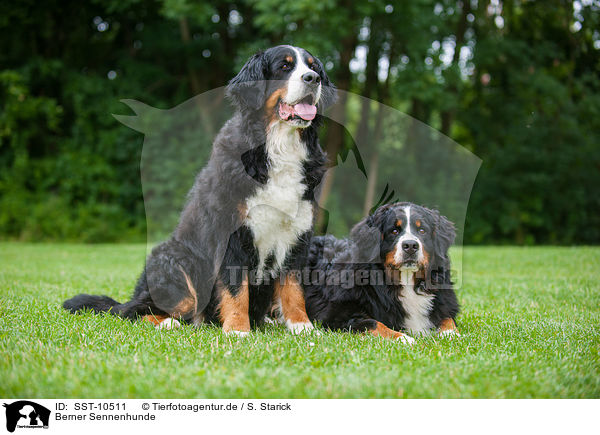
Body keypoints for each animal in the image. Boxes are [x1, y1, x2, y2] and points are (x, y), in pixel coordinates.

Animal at [66, 45, 338, 338]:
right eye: (284, 67)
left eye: (313, 67)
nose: (313, 79)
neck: (279, 148)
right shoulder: (232, 234)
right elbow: (236, 288)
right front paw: (238, 330)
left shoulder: (297, 233)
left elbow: (293, 288)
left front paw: (302, 326)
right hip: (178, 262)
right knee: (131, 311)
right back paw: (168, 322)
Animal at [302, 202, 462, 344]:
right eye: (394, 231)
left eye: (422, 230)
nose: (410, 245)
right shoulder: (335, 313)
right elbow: (374, 323)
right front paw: (403, 338)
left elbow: (447, 318)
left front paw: (452, 334)